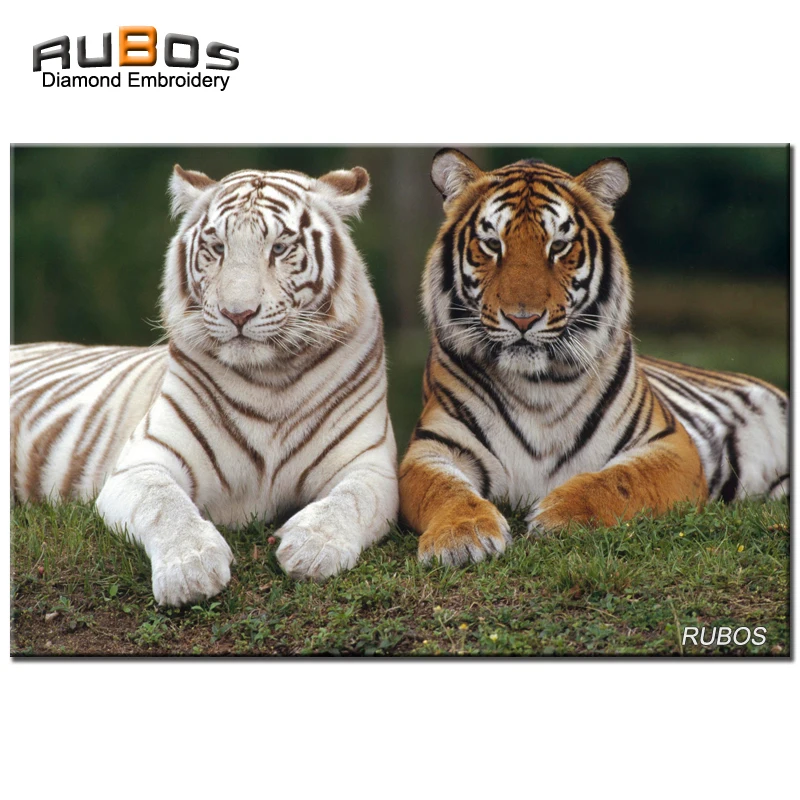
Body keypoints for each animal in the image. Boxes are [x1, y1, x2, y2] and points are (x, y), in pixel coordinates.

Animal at [11, 163, 398, 606]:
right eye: (217, 247)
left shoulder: (370, 465)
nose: (238, 313)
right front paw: (190, 569)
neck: (271, 379)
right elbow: (164, 504)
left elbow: (351, 501)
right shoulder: (143, 461)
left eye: (279, 248)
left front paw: (313, 547)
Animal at [399, 149, 788, 566]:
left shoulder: (669, 445)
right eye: (491, 244)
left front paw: (557, 513)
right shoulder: (431, 448)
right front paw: (461, 535)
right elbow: (444, 489)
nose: (523, 319)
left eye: (558, 246)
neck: (537, 385)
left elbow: (620, 481)